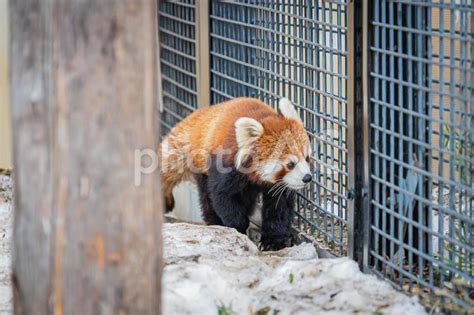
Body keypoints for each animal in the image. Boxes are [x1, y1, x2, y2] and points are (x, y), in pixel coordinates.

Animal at [161, 97, 312, 251]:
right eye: (290, 164)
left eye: (306, 158)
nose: (307, 178)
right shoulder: (224, 166)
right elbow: (223, 197)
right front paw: (237, 228)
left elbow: (279, 207)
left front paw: (274, 241)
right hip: (201, 164)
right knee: (206, 197)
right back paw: (215, 222)